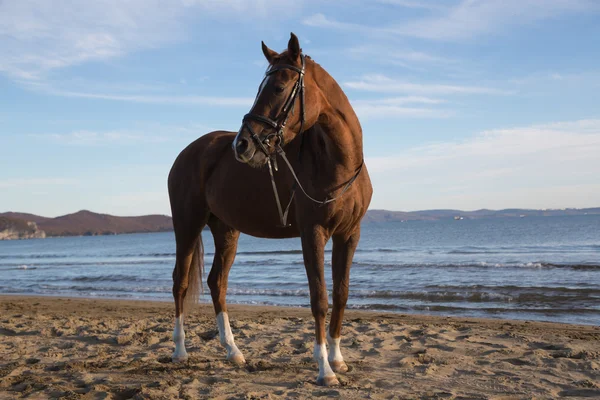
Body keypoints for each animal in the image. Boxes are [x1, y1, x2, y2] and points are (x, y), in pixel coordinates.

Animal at [169, 32, 372, 386]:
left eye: (277, 88)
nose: (242, 144)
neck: (339, 164)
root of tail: (188, 152)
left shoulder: (349, 235)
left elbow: (342, 294)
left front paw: (338, 358)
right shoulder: (313, 234)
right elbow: (319, 298)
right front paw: (324, 369)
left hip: (226, 230)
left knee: (216, 282)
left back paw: (233, 351)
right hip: (187, 225)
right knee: (180, 281)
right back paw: (180, 351)